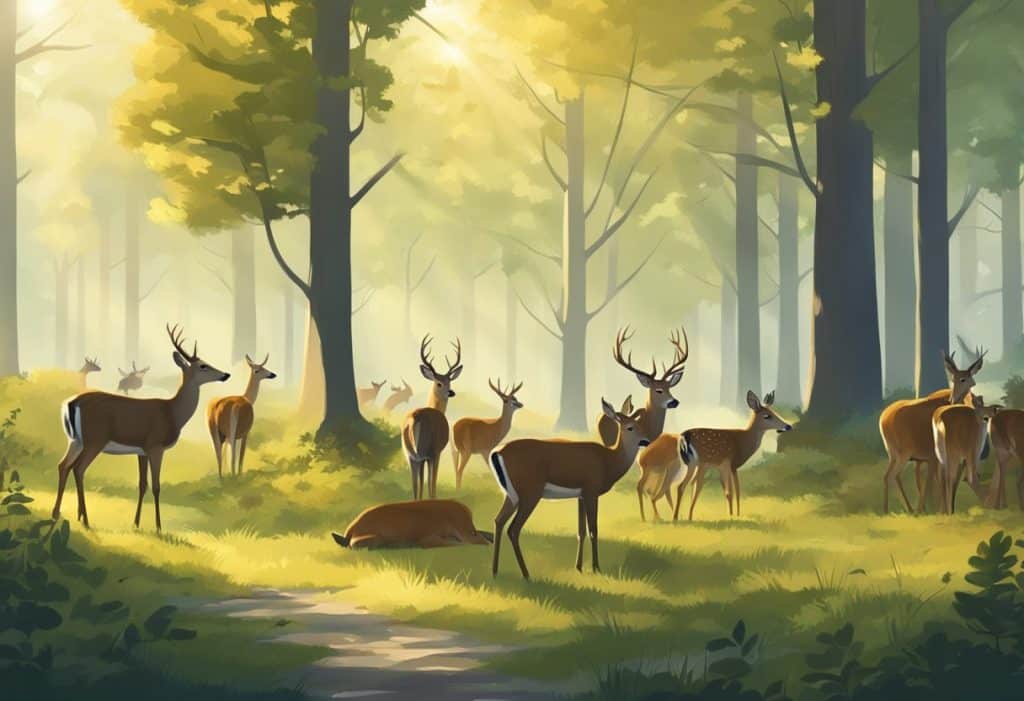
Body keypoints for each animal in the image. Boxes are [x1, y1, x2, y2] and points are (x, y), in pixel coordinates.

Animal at [53, 324, 229, 531]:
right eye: (203, 365)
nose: (226, 374)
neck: (173, 413)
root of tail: (71, 403)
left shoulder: (141, 451)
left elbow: (142, 484)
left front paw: (136, 523)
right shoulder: (155, 446)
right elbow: (156, 486)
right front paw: (159, 527)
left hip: (75, 440)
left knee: (63, 465)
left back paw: (59, 514)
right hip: (94, 440)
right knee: (78, 468)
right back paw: (85, 520)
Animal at [402, 335, 462, 500]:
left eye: (450, 381)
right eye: (439, 383)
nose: (451, 392)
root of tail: (414, 419)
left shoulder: (423, 457)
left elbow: (422, 482)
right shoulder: (436, 452)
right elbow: (431, 482)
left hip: (409, 453)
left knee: (415, 484)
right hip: (424, 450)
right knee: (428, 481)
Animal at [489, 398, 651, 580]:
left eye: (639, 423)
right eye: (630, 427)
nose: (646, 441)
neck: (608, 461)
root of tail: (496, 453)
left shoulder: (580, 496)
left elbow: (581, 531)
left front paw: (579, 567)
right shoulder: (591, 491)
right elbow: (593, 530)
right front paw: (596, 568)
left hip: (511, 495)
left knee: (498, 521)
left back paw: (495, 571)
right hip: (530, 493)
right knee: (513, 529)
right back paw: (526, 574)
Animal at [671, 390, 792, 522]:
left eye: (774, 412)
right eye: (767, 416)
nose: (788, 426)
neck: (743, 443)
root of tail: (683, 437)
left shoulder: (732, 467)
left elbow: (736, 491)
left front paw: (736, 515)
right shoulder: (726, 463)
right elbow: (729, 492)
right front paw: (731, 516)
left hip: (697, 464)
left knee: (690, 485)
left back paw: (686, 517)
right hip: (700, 462)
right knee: (687, 486)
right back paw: (677, 517)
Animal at [879, 349, 985, 514]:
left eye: (965, 379)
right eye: (953, 378)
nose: (952, 399)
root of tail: (883, 419)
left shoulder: (933, 457)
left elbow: (945, 480)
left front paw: (946, 508)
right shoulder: (934, 456)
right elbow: (938, 480)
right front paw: (942, 510)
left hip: (893, 453)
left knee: (890, 476)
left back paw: (906, 509)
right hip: (904, 451)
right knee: (892, 476)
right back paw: (897, 510)